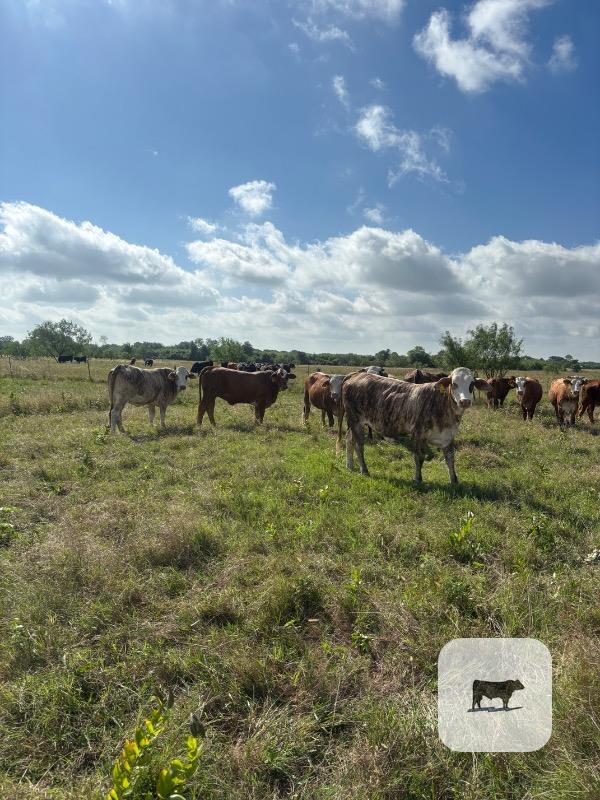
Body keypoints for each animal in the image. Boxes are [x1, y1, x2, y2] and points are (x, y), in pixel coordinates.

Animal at [338, 367, 477, 484]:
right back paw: (364, 470)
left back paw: (350, 466)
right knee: (359, 445)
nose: (465, 401)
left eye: (472, 384)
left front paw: (454, 481)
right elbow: (419, 457)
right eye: (454, 384)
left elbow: (450, 459)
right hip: (356, 420)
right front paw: (418, 479)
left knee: (349, 439)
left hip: (352, 422)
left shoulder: (449, 436)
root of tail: (356, 374)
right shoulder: (418, 433)